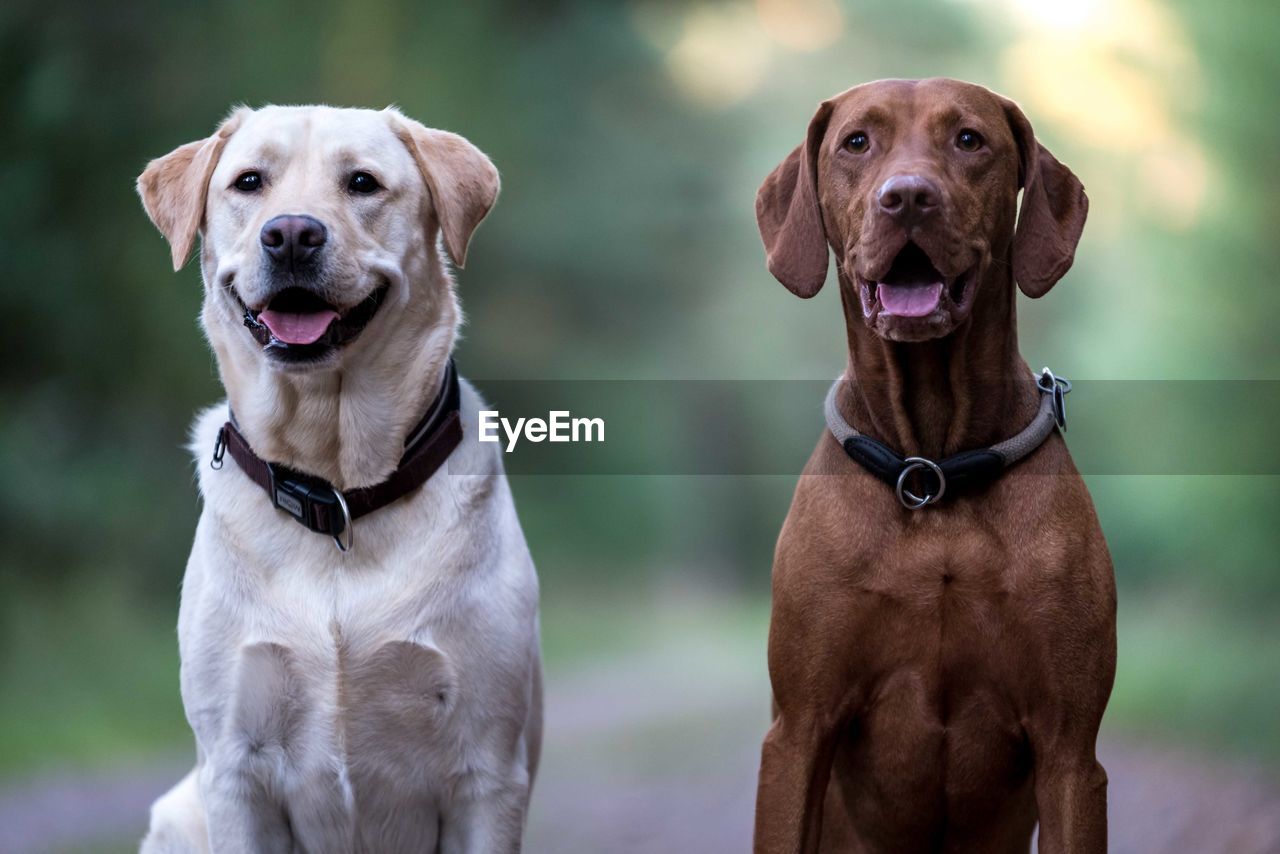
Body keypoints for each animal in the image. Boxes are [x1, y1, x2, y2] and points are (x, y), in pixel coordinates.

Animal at [752, 76, 1116, 850]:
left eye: (969, 140)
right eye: (857, 142)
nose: (909, 197)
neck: (932, 470)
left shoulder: (1071, 752)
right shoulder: (797, 735)